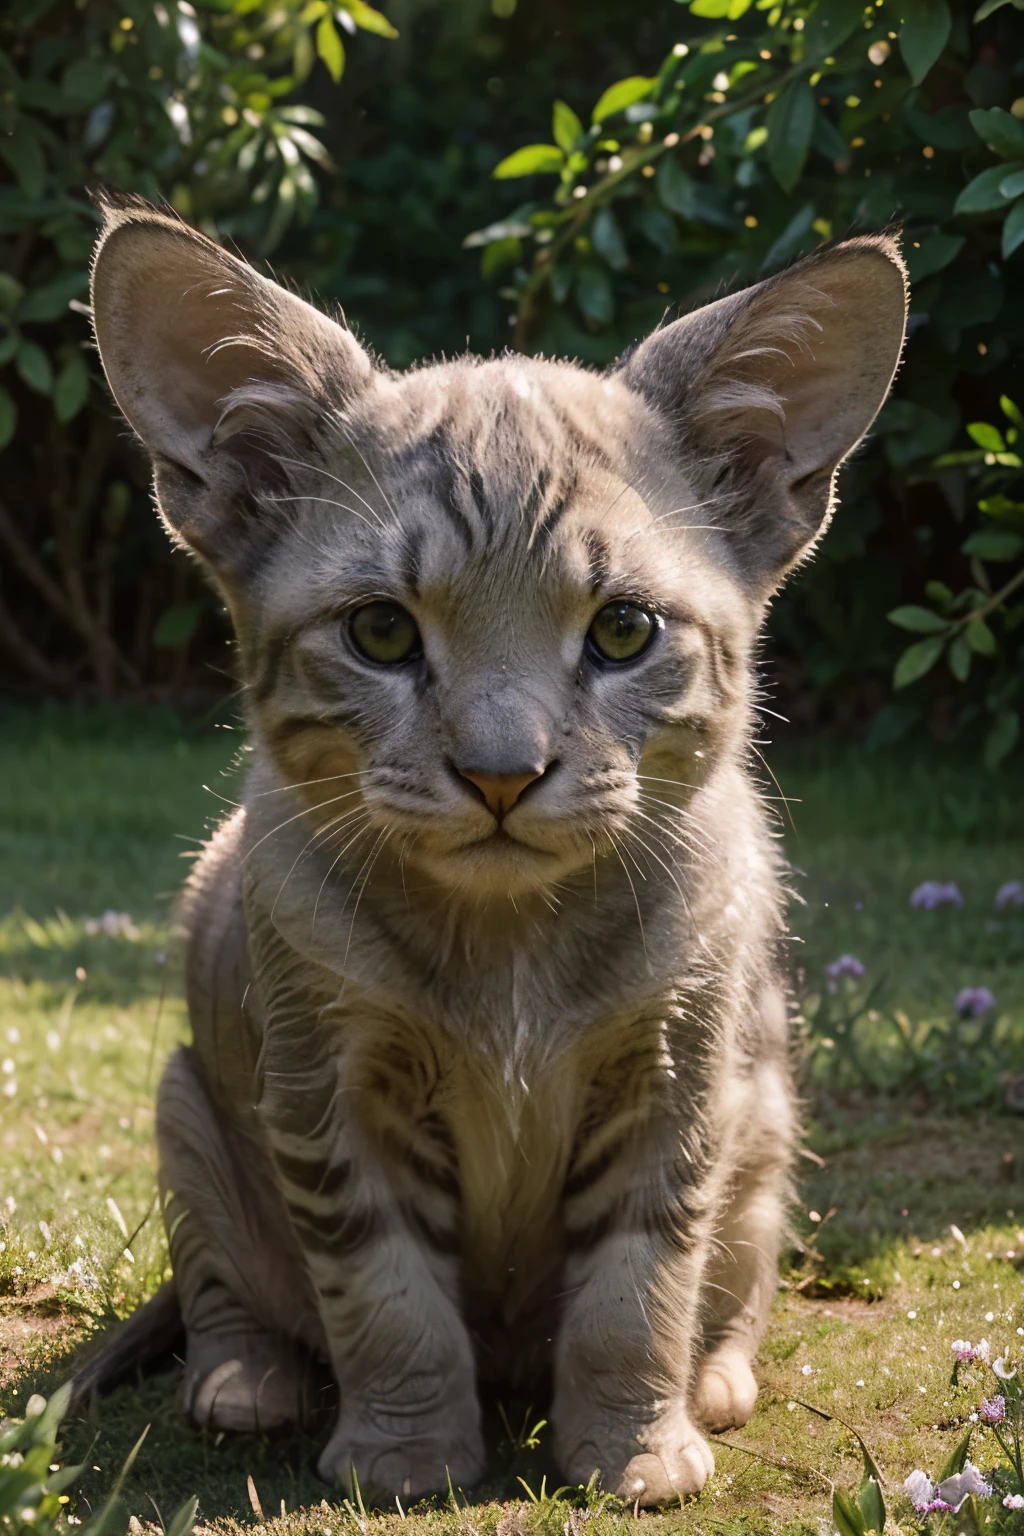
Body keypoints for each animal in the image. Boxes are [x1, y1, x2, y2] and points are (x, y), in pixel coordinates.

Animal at [84, 188, 908, 1499]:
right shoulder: (328, 1089)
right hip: (187, 1110)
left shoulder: (679, 1077)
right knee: (222, 1284)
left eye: (622, 632)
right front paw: (405, 1452)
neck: (510, 948)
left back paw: (717, 1377)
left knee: (730, 1273)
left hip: (769, 1113)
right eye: (379, 632)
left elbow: (638, 1288)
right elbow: (388, 1296)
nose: (501, 774)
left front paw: (634, 1448)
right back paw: (244, 1372)